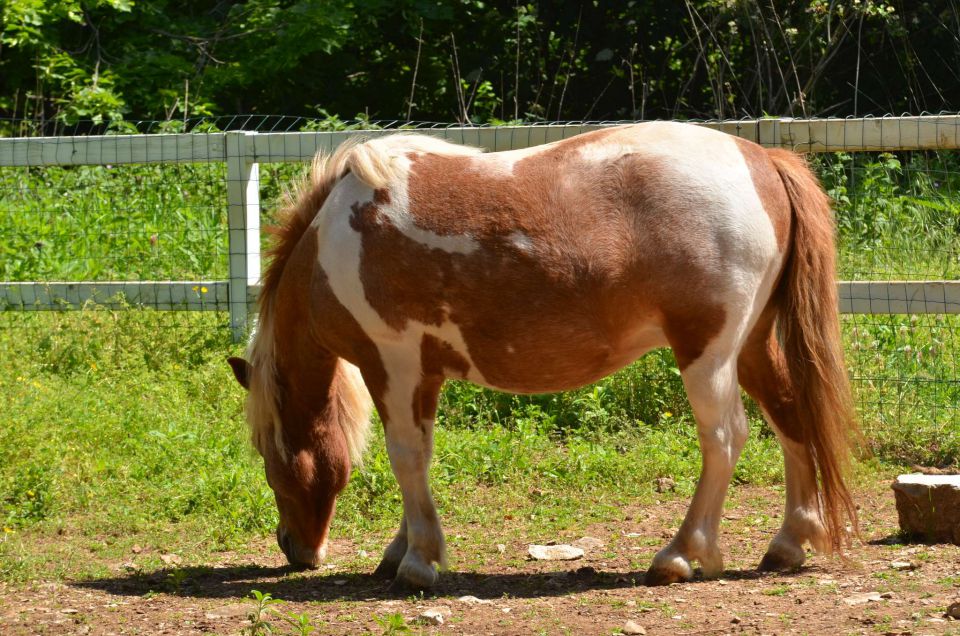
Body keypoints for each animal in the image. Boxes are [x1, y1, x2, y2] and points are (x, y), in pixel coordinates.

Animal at [229, 121, 860, 588]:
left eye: (267, 454)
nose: (294, 549)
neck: (334, 241)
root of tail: (761, 159)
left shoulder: (396, 365)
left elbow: (406, 457)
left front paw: (419, 562)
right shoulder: (423, 375)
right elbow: (418, 457)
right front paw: (402, 548)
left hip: (707, 354)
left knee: (725, 438)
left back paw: (681, 554)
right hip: (751, 347)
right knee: (790, 416)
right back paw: (789, 543)